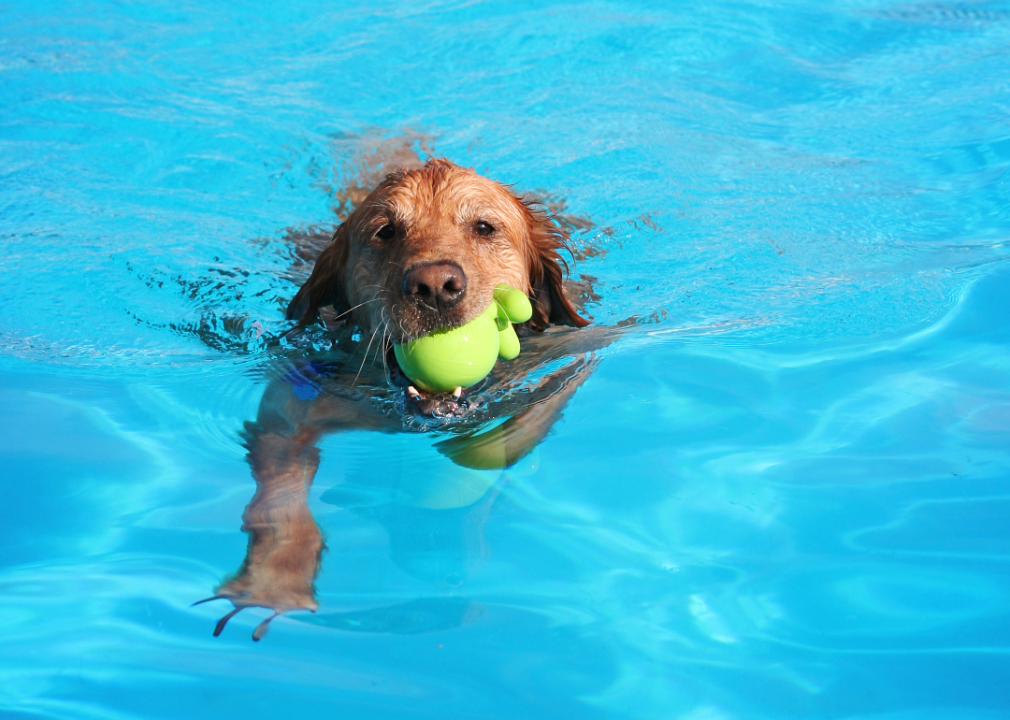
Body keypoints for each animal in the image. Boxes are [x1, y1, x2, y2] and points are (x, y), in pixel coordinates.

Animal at [194, 154, 606, 638]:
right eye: (386, 231)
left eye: (484, 227)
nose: (435, 285)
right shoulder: (292, 405)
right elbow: (276, 502)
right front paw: (273, 582)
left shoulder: (565, 365)